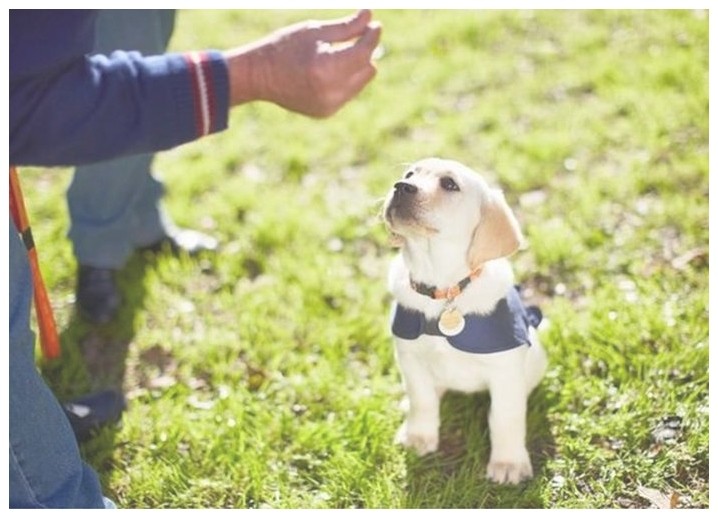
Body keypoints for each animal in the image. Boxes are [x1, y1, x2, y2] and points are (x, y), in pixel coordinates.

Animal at [386, 156, 548, 486]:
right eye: (409, 174)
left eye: (449, 184)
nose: (400, 186)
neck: (442, 288)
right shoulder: (409, 357)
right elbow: (422, 399)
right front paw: (419, 437)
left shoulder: (504, 371)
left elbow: (506, 418)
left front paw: (508, 463)